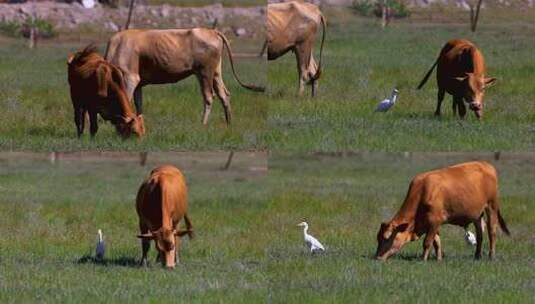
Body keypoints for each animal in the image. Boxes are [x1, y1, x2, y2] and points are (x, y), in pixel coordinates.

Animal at [104, 27, 266, 124]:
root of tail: (212, 31)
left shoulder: (130, 78)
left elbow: (127, 100)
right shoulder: (139, 83)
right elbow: (139, 105)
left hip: (204, 72)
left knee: (209, 96)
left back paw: (203, 125)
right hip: (215, 73)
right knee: (224, 94)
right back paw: (229, 124)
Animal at [376, 162, 510, 262]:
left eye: (387, 238)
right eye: (378, 238)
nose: (377, 257)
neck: (422, 191)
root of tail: (487, 165)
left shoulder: (434, 221)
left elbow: (427, 242)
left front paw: (423, 259)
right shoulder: (432, 223)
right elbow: (437, 242)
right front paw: (439, 259)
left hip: (491, 206)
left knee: (492, 232)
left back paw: (491, 256)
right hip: (477, 215)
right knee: (480, 235)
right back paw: (477, 256)